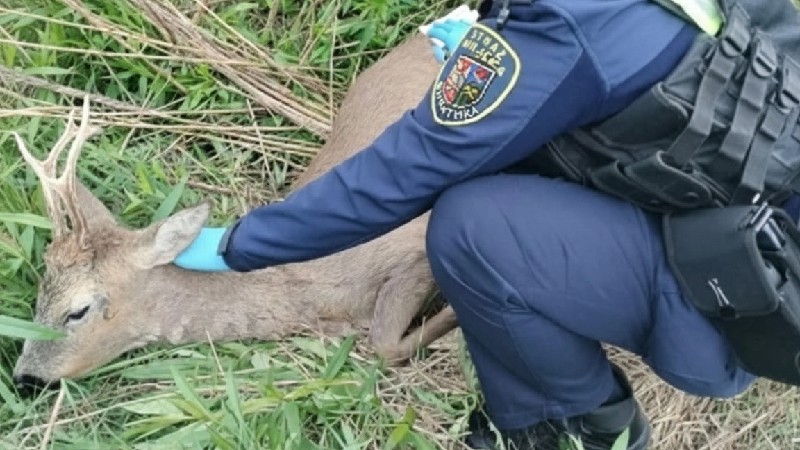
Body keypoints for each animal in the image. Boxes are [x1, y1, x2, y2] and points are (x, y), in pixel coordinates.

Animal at [12, 34, 460, 390]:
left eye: (78, 311)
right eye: (39, 293)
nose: (24, 378)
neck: (304, 289)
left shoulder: (412, 245)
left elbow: (383, 344)